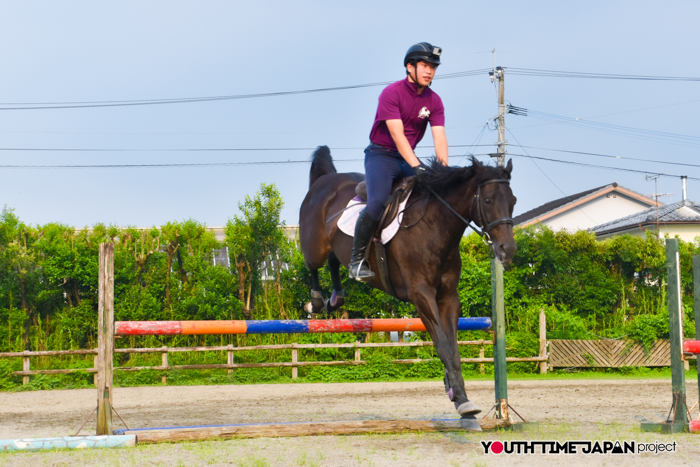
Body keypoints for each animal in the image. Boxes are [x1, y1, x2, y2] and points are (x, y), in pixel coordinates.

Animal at [298, 146, 517, 423]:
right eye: (487, 201)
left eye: (513, 201)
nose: (507, 250)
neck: (434, 226)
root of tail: (325, 180)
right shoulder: (421, 295)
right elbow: (443, 346)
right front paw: (460, 398)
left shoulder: (448, 297)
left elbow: (453, 349)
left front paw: (459, 397)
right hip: (314, 244)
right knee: (314, 264)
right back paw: (317, 300)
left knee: (334, 260)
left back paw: (337, 297)